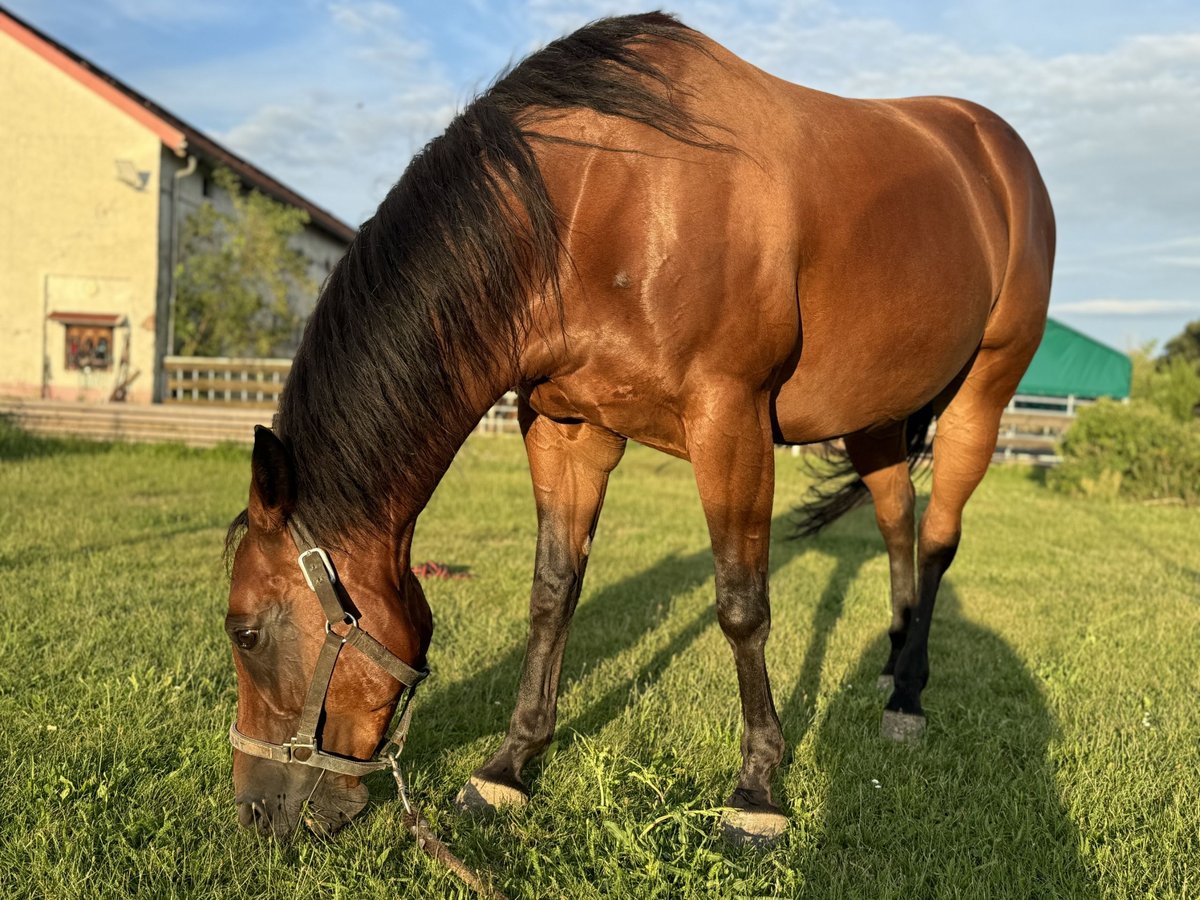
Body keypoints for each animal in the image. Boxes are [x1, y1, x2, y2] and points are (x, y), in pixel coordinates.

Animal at [223, 12, 1051, 844]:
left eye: (244, 633)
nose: (256, 810)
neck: (597, 203)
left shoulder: (730, 423)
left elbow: (741, 607)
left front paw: (757, 789)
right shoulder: (565, 429)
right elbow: (553, 591)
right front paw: (509, 766)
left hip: (983, 396)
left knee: (938, 539)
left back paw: (907, 695)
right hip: (875, 415)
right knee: (895, 522)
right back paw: (891, 661)